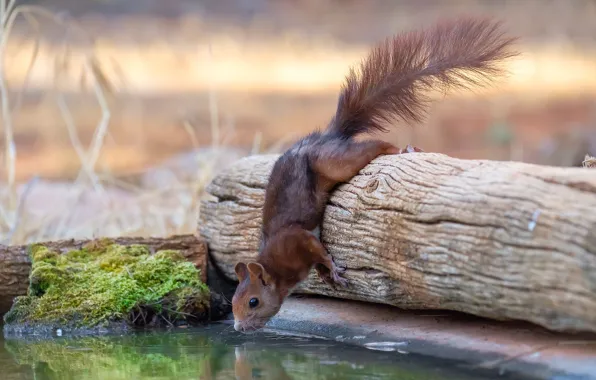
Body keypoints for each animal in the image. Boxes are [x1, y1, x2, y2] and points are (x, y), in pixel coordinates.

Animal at [230, 17, 520, 332]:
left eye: (253, 302)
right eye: (232, 302)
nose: (238, 328)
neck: (276, 266)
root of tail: (327, 137)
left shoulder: (296, 239)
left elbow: (318, 249)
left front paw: (333, 269)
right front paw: (326, 275)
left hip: (336, 162)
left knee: (375, 147)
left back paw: (402, 149)